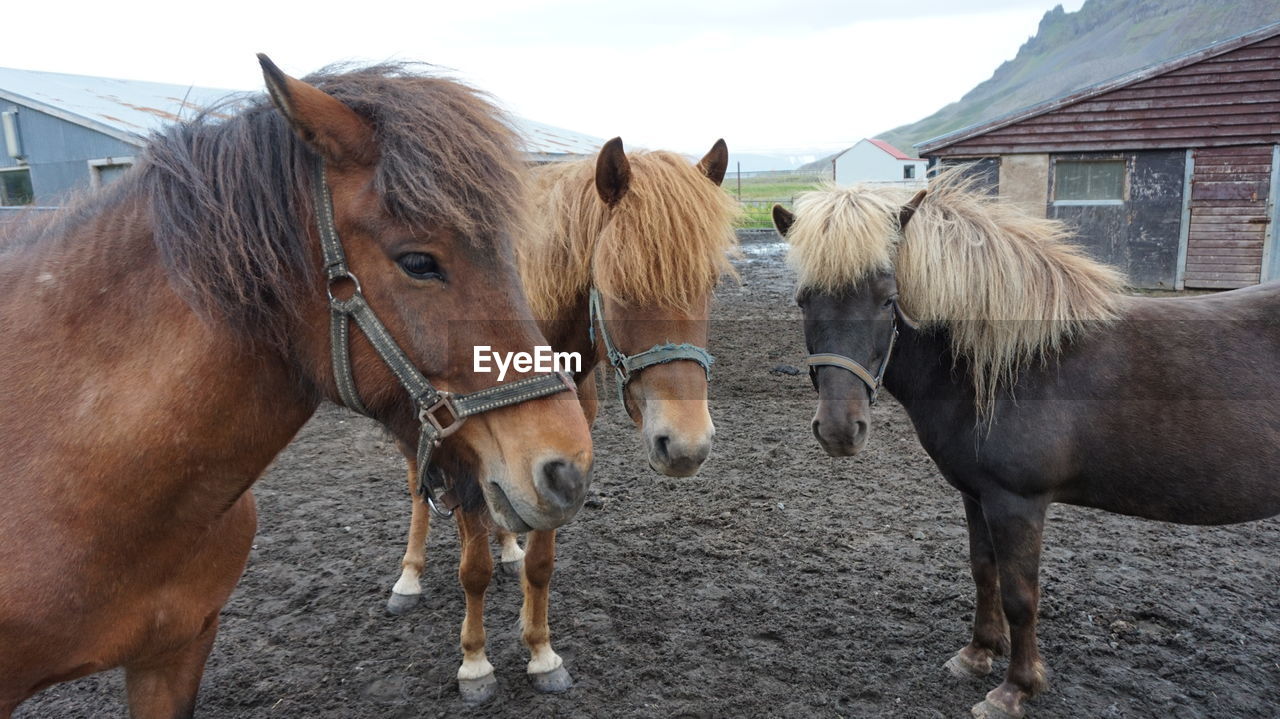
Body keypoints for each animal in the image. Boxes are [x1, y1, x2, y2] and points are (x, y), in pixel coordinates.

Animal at [384, 135, 737, 701]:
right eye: (618, 281)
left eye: (710, 282)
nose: (686, 446)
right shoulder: (460, 460)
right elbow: (473, 569)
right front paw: (475, 662)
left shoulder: (560, 464)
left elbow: (540, 564)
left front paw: (541, 653)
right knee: (419, 491)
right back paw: (409, 576)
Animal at [768, 168, 1280, 716]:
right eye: (802, 301)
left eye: (888, 298)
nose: (840, 429)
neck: (1016, 362)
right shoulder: (977, 495)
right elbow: (983, 571)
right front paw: (976, 655)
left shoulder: (1018, 502)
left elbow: (1020, 596)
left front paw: (1015, 688)